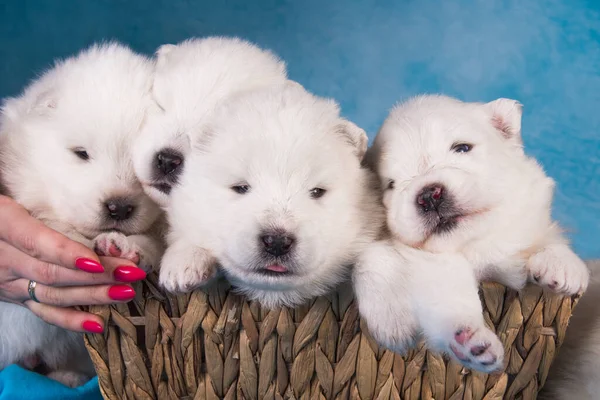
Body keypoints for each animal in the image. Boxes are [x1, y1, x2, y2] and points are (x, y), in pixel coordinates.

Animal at [354, 94, 588, 372]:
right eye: (390, 184)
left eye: (462, 148)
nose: (429, 196)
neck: (474, 244)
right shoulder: (431, 267)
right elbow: (451, 299)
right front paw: (470, 337)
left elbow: (545, 238)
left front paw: (562, 265)